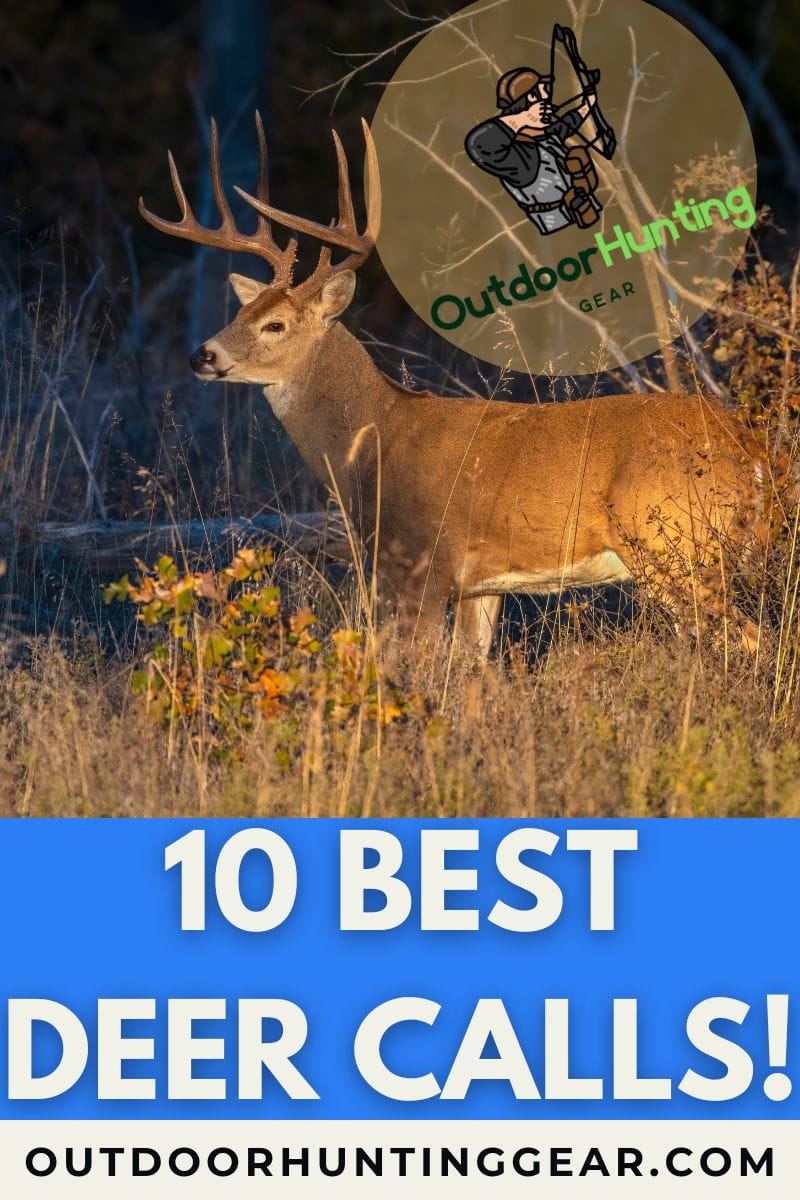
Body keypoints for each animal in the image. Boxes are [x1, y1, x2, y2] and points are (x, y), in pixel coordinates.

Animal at [139, 113, 779, 658]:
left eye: (275, 325)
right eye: (241, 312)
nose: (202, 355)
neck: (374, 440)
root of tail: (751, 449)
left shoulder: (422, 566)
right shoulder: (482, 585)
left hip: (676, 547)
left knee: (751, 638)